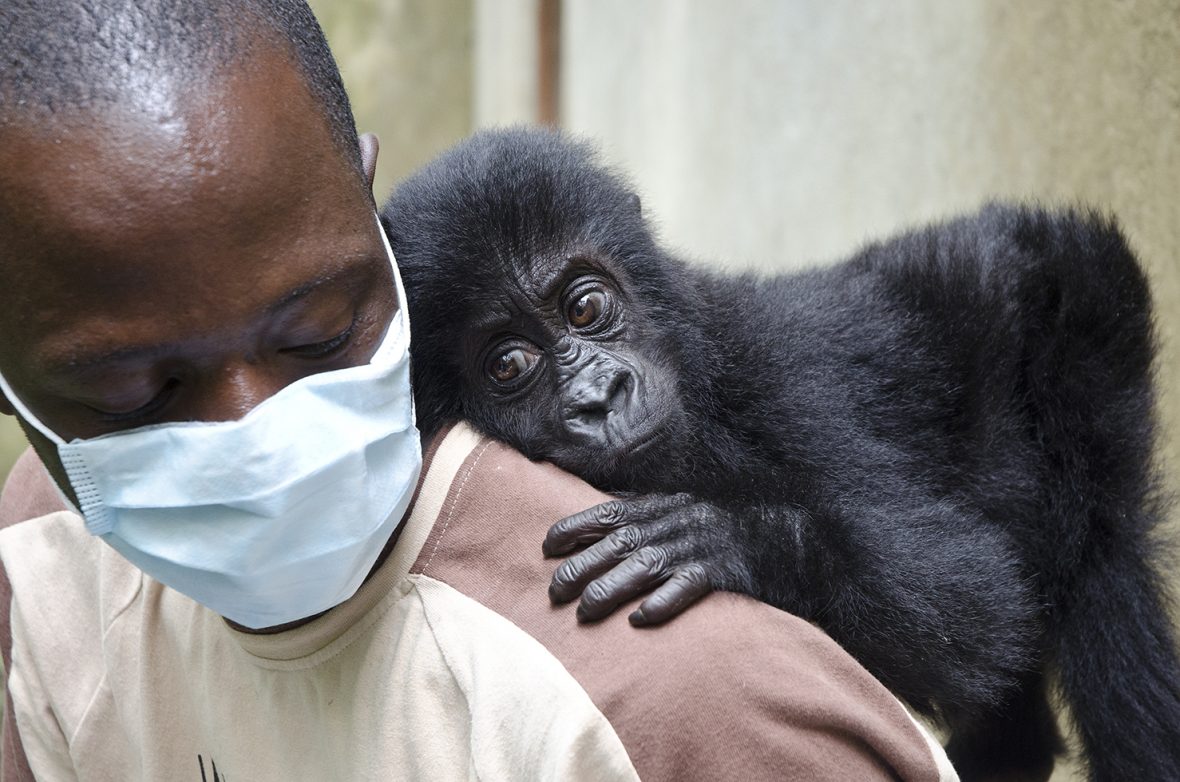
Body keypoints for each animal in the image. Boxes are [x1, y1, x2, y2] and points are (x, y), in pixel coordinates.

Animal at [380, 127, 1180, 781]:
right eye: (509, 364)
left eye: (584, 307)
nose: (599, 397)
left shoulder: (786, 385)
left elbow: (978, 600)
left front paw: (735, 538)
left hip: (1083, 313)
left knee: (1101, 561)